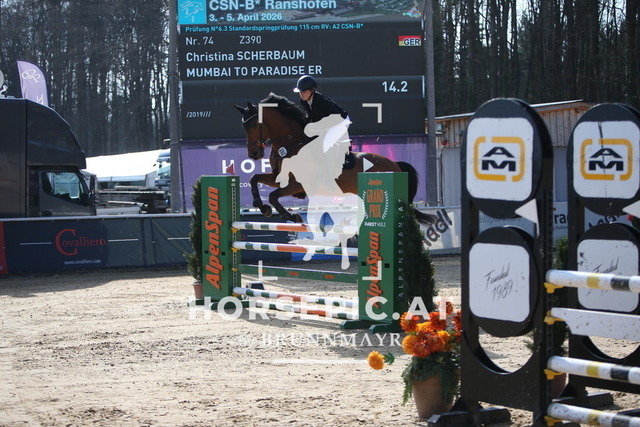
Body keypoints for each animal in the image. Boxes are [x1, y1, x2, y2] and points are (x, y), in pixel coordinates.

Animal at [234, 93, 436, 226]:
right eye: (243, 126)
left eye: (254, 125)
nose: (254, 154)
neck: (291, 144)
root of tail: (396, 164)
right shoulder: (280, 178)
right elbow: (254, 179)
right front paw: (261, 206)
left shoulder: (298, 184)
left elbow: (274, 196)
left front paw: (290, 216)